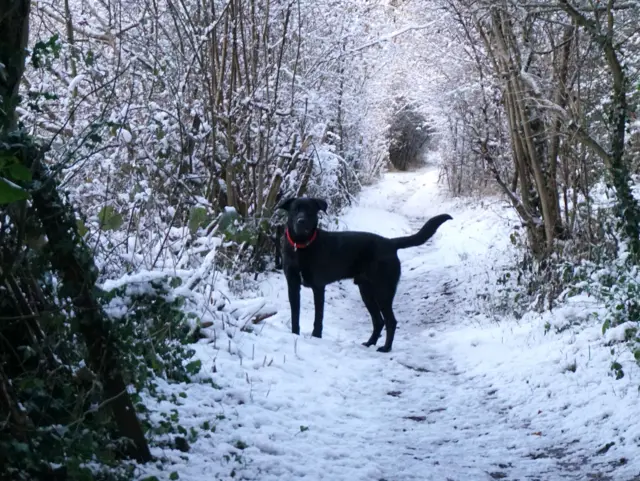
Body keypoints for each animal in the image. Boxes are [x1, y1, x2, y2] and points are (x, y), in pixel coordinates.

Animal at [278, 196, 452, 352]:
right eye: (295, 210)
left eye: (310, 211)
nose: (301, 221)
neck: (301, 246)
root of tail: (390, 243)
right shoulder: (292, 286)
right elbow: (295, 315)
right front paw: (294, 335)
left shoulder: (318, 287)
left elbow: (318, 318)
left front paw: (315, 338)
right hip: (366, 290)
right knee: (379, 321)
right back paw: (369, 343)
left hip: (383, 291)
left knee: (390, 321)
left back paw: (386, 348)